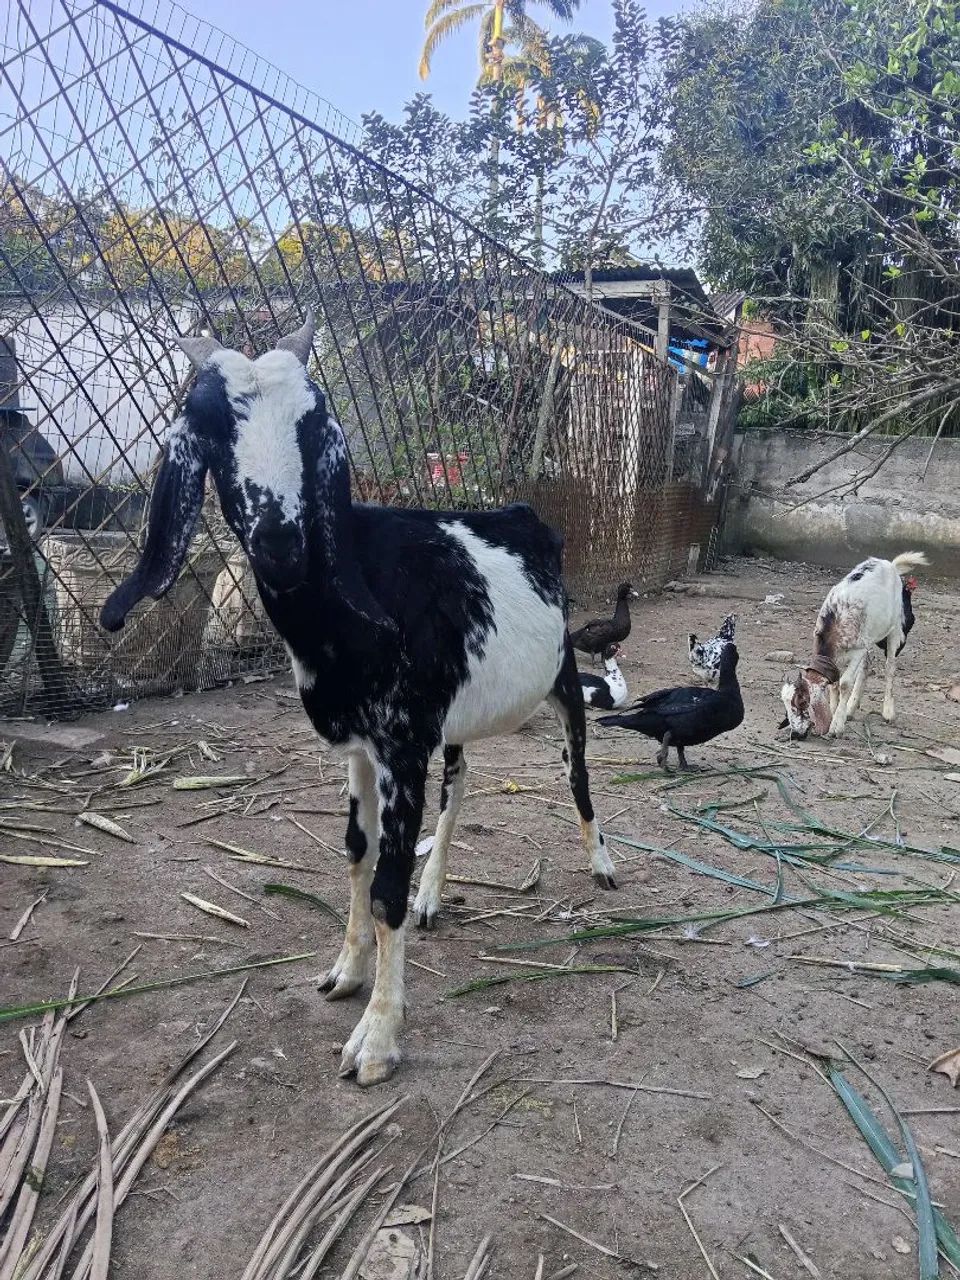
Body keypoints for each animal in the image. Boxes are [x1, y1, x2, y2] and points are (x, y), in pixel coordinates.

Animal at [100, 315, 617, 1087]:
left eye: (314, 425)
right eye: (209, 426)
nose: (280, 540)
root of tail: (522, 512)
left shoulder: (401, 744)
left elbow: (386, 886)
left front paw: (377, 1038)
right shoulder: (361, 747)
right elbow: (356, 853)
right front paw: (346, 971)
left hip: (560, 678)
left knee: (577, 772)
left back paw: (602, 864)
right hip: (453, 719)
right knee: (460, 782)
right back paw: (436, 895)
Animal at [779, 552, 927, 739]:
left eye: (802, 701)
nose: (796, 735)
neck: (835, 622)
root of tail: (890, 565)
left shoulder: (858, 650)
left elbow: (844, 683)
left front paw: (836, 726)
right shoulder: (840, 657)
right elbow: (835, 683)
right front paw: (835, 712)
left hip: (894, 628)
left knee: (890, 667)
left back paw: (887, 711)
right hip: (869, 635)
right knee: (867, 666)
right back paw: (851, 708)